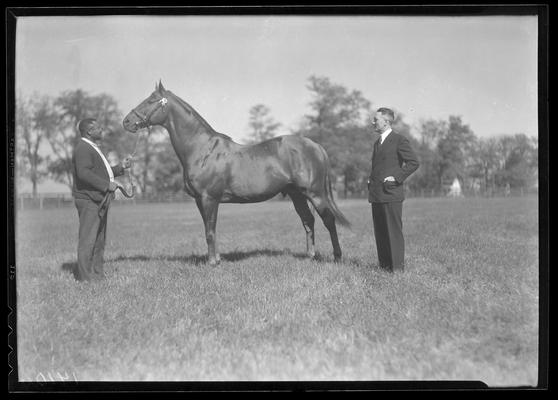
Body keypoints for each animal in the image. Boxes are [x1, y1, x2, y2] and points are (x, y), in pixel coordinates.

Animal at [124, 81, 352, 266]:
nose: (126, 122)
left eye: (150, 100)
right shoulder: (200, 200)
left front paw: (212, 263)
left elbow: (210, 231)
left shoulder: (209, 198)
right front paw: (216, 259)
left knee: (328, 220)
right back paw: (310, 256)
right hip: (297, 195)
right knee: (308, 221)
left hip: (315, 193)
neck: (202, 149)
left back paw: (337, 257)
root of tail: (315, 145)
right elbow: (209, 229)